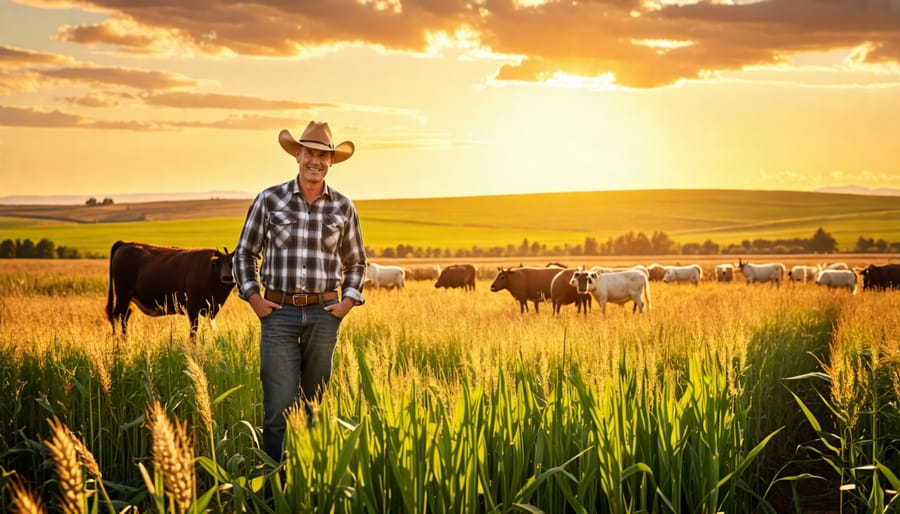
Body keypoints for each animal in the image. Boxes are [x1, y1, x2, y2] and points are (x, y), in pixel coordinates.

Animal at [105, 240, 236, 336]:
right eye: (219, 263)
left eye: (233, 264)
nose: (227, 277)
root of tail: (125, 244)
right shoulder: (192, 308)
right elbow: (193, 332)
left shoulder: (210, 310)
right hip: (122, 295)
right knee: (118, 316)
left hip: (129, 300)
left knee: (125, 316)